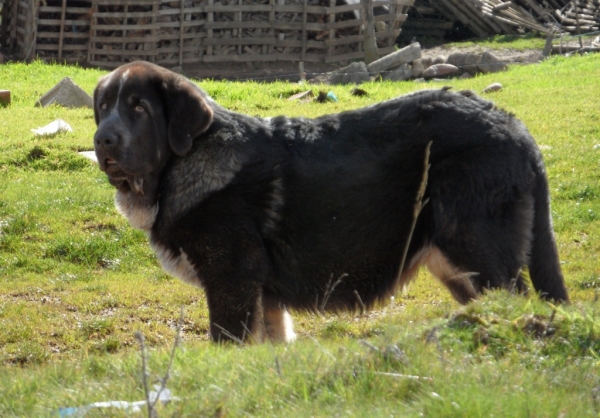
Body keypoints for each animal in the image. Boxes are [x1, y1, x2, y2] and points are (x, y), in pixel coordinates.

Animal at [92, 62, 568, 342]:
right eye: (104, 106)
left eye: (138, 107)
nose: (102, 140)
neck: (179, 165)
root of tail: (515, 127)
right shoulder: (263, 298)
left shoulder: (231, 283)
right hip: (457, 265)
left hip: (477, 251)